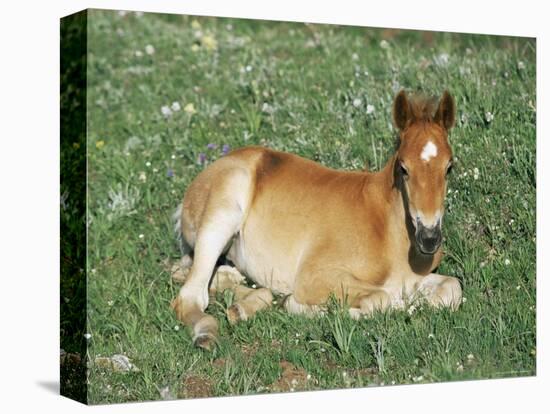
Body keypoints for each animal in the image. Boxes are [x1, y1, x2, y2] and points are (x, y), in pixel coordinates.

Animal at [171, 89, 462, 348]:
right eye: (403, 168)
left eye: (449, 167)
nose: (429, 238)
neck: (388, 231)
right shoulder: (314, 276)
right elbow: (379, 298)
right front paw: (306, 307)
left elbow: (451, 288)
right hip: (222, 213)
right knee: (189, 295)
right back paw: (208, 333)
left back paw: (242, 305)